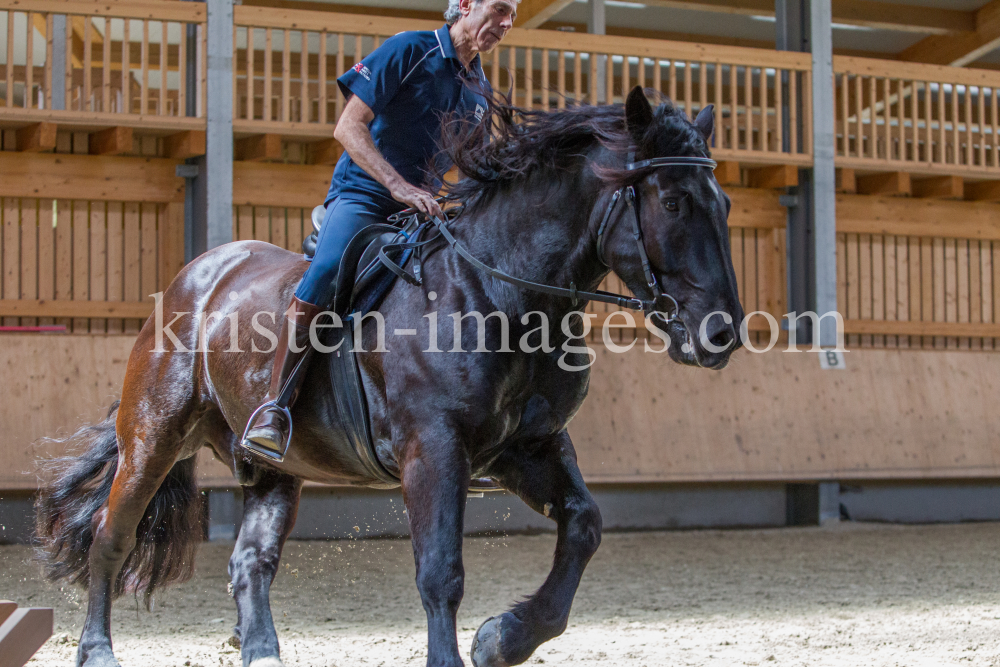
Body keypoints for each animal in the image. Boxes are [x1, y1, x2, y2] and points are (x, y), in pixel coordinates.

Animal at [35, 88, 744, 667]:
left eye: (725, 202)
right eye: (673, 200)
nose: (723, 333)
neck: (498, 293)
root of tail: (201, 274)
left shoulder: (526, 448)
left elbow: (585, 525)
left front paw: (504, 638)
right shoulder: (433, 446)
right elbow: (440, 571)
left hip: (272, 467)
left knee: (249, 561)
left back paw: (263, 653)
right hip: (153, 440)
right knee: (112, 537)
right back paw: (97, 651)